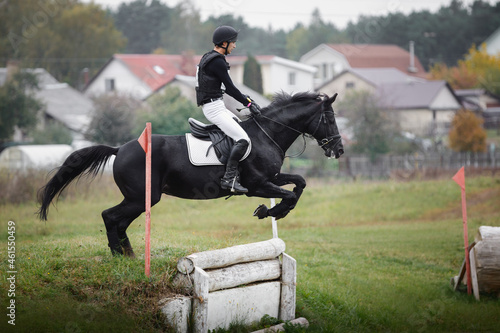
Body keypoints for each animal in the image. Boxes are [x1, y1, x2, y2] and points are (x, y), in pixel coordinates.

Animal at [38, 91, 344, 256]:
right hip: (141, 198)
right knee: (110, 216)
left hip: (140, 199)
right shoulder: (257, 184)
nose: (339, 150)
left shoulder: (272, 178)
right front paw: (270, 211)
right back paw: (119, 255)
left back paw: (129, 256)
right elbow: (289, 195)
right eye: (329, 118)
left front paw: (273, 211)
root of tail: (119, 148)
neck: (265, 134)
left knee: (119, 221)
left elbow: (299, 183)